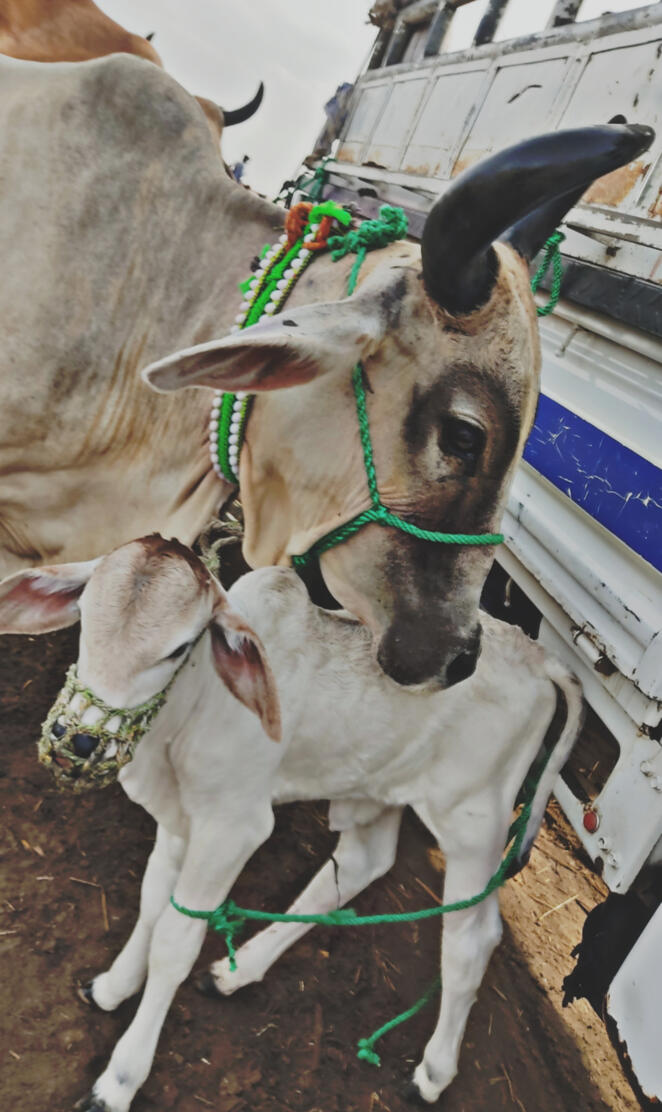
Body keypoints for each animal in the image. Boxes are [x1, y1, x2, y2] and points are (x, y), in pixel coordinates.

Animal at [0, 535, 584, 1109]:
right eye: (83, 615)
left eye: (177, 649)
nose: (77, 740)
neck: (190, 712)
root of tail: (537, 657)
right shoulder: (179, 819)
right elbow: (151, 904)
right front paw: (111, 988)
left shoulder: (231, 828)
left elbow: (174, 940)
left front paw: (119, 1080)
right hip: (377, 789)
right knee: (360, 865)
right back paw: (236, 972)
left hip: (474, 822)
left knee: (472, 938)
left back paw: (432, 1074)